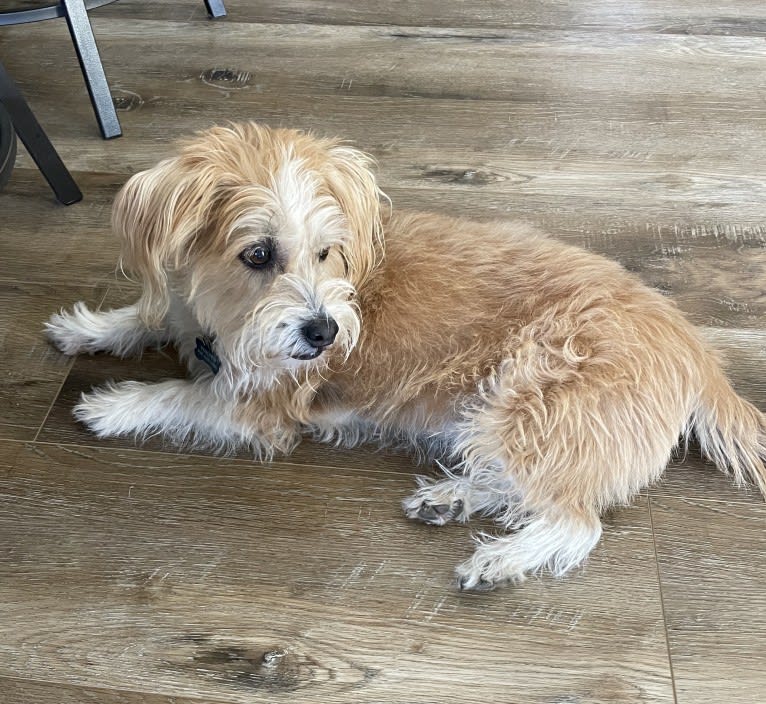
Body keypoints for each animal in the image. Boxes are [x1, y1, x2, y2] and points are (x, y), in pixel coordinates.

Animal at [46, 124, 766, 592]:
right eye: (257, 254)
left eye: (327, 252)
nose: (324, 334)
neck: (222, 321)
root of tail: (694, 348)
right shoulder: (187, 314)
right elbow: (146, 316)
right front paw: (84, 327)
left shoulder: (263, 409)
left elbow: (180, 394)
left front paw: (114, 404)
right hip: (501, 416)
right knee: (517, 483)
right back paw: (450, 499)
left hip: (534, 401)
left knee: (575, 519)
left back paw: (499, 560)